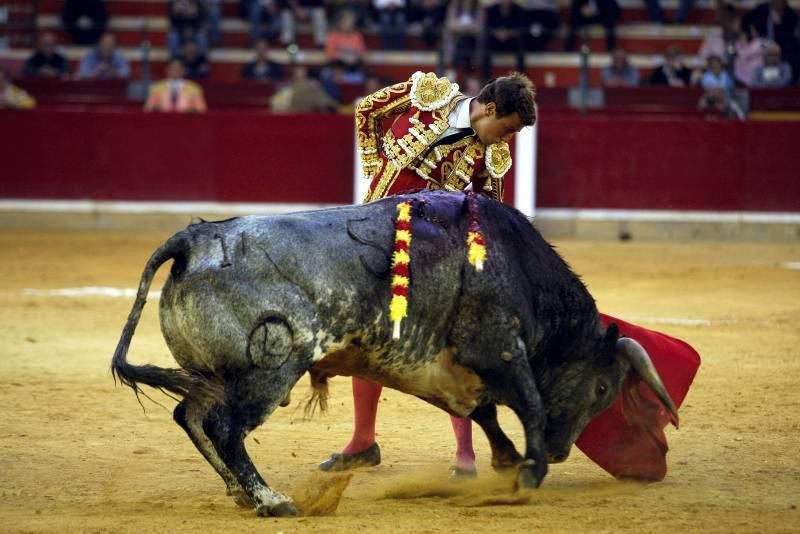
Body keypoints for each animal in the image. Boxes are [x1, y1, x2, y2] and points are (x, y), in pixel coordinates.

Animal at [111, 192, 676, 520]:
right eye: (602, 388)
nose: (560, 452)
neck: (517, 267)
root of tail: (197, 237)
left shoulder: (445, 368)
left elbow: (484, 412)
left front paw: (508, 460)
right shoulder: (496, 346)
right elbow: (529, 405)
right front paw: (529, 474)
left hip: (209, 374)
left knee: (191, 416)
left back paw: (239, 492)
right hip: (268, 372)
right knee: (226, 427)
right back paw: (272, 501)